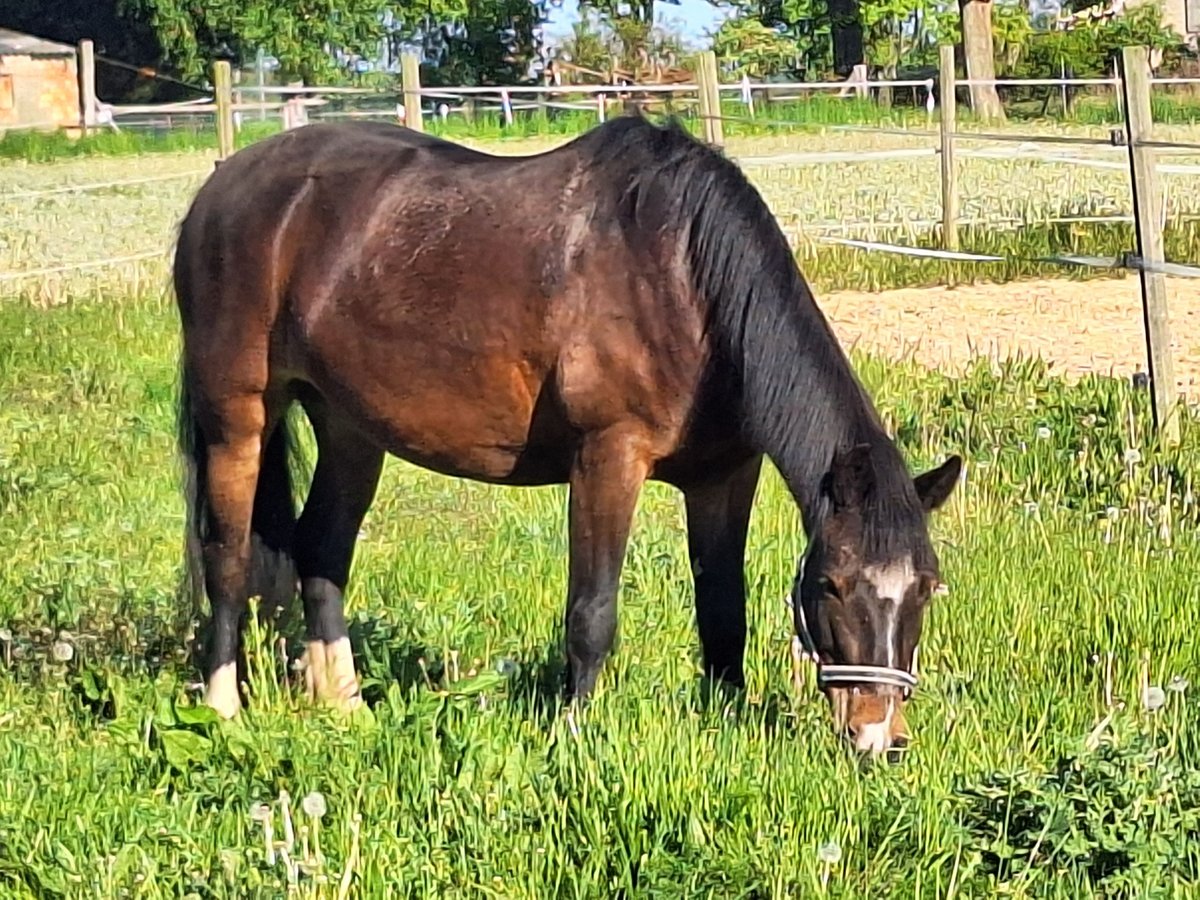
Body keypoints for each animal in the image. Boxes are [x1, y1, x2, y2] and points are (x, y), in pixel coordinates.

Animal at [174, 116, 960, 758]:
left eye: (926, 588)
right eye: (832, 584)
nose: (879, 736)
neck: (684, 280)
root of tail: (222, 187)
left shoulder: (723, 476)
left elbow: (723, 611)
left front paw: (727, 718)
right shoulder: (608, 457)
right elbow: (592, 610)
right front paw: (574, 732)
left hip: (350, 428)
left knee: (321, 552)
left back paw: (345, 706)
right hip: (239, 415)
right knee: (228, 559)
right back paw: (224, 708)